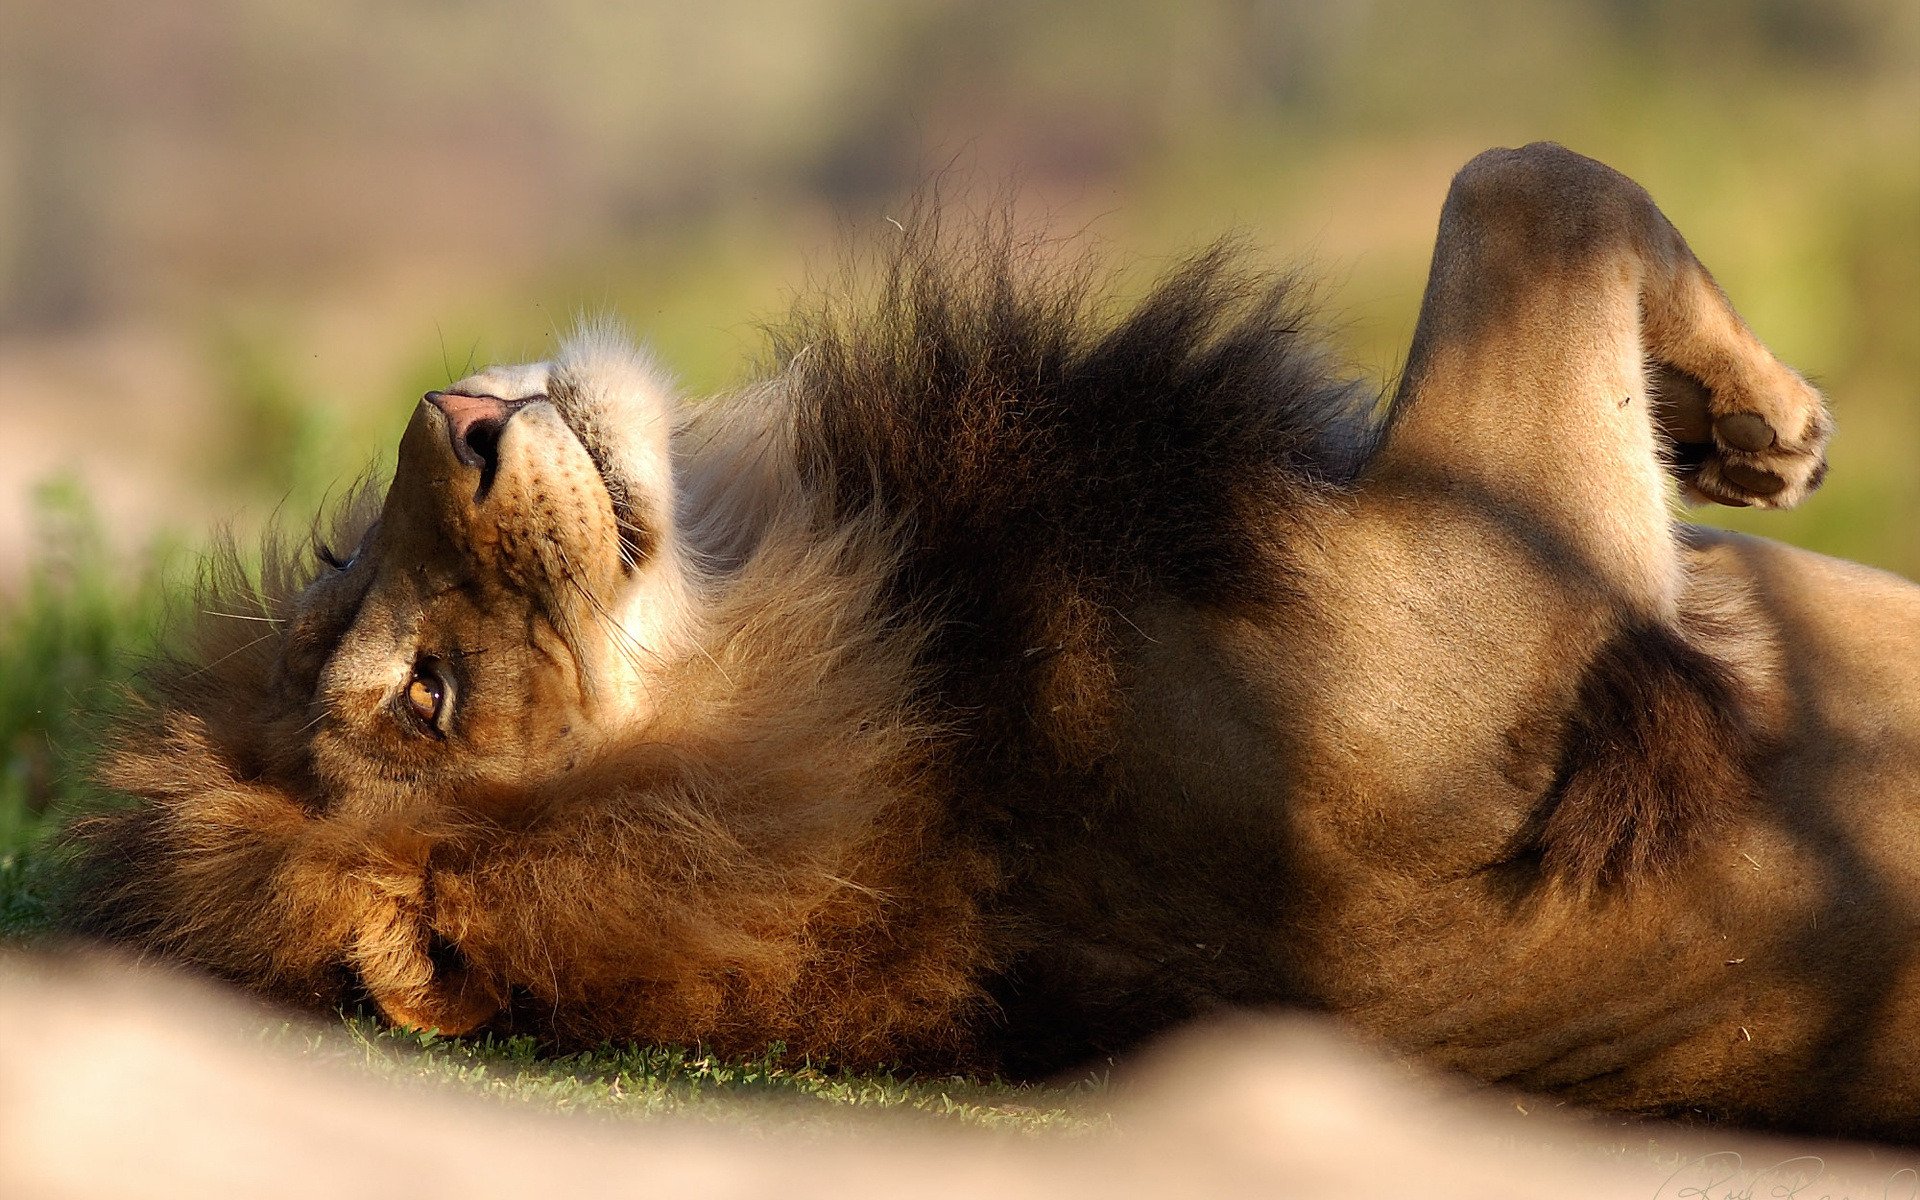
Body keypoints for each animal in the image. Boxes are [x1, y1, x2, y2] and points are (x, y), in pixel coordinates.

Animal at [61, 143, 1920, 1138]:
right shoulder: (1527, 579)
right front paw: (1769, 421)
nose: (450, 414)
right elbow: (1534, 188)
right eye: (426, 700)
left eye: (338, 571)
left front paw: (1741, 434)